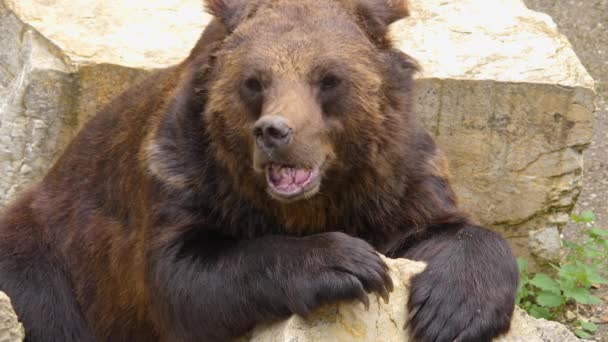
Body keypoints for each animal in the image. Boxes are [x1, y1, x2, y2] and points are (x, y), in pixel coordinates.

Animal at [0, 0, 516, 340]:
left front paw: (452, 314)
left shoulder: (391, 179)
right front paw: (347, 264)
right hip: (47, 260)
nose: (275, 131)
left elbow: (444, 228)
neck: (315, 201)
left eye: (328, 79)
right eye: (254, 81)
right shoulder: (181, 175)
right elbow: (184, 275)